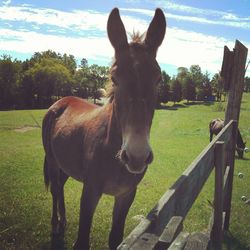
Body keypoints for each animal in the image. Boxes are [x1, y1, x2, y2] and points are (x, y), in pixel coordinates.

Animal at [41, 7, 166, 250]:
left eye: (158, 78)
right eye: (114, 78)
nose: (136, 156)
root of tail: (60, 101)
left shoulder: (126, 195)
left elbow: (116, 238)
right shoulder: (90, 192)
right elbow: (82, 240)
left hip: (65, 164)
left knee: (60, 187)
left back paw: (63, 221)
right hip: (52, 161)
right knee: (55, 190)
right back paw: (55, 225)